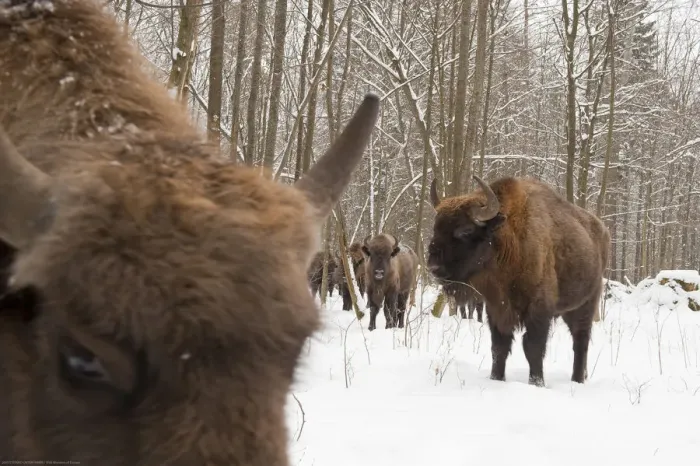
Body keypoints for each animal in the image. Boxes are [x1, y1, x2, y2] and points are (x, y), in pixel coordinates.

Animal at [427, 176, 610, 387]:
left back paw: (577, 380)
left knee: (581, 341)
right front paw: (496, 378)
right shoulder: (497, 309)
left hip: (585, 304)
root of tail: (602, 231)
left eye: (465, 230)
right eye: (435, 227)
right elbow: (499, 347)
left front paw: (537, 383)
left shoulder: (538, 310)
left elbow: (533, 348)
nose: (433, 267)